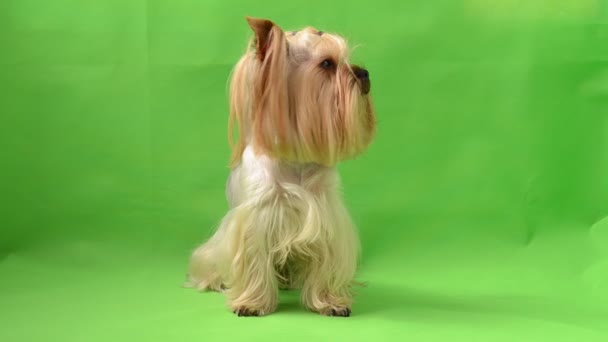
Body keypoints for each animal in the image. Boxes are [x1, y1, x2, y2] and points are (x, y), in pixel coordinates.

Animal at [185, 16, 376, 318]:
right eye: (327, 64)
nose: (365, 73)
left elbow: (326, 260)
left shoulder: (327, 216)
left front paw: (330, 302)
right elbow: (254, 260)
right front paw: (251, 303)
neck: (297, 159)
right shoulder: (257, 219)